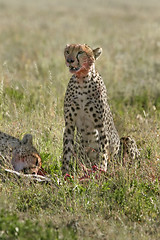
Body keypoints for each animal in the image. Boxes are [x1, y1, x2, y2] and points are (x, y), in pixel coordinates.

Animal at [62, 43, 139, 174]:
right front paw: (64, 174)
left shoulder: (101, 125)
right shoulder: (69, 125)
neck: (82, 80)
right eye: (67, 51)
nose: (69, 60)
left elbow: (103, 150)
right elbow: (66, 151)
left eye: (80, 52)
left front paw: (102, 169)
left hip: (126, 141)